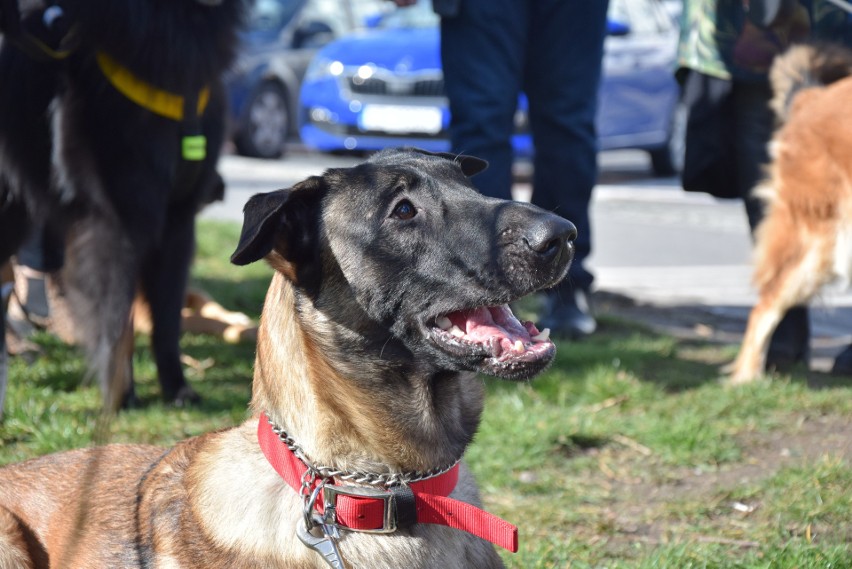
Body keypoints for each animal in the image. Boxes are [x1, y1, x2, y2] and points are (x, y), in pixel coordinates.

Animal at [0, 0, 250, 408]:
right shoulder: (117, 224)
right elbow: (118, 317)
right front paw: (121, 394)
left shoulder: (177, 223)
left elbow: (168, 319)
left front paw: (176, 388)